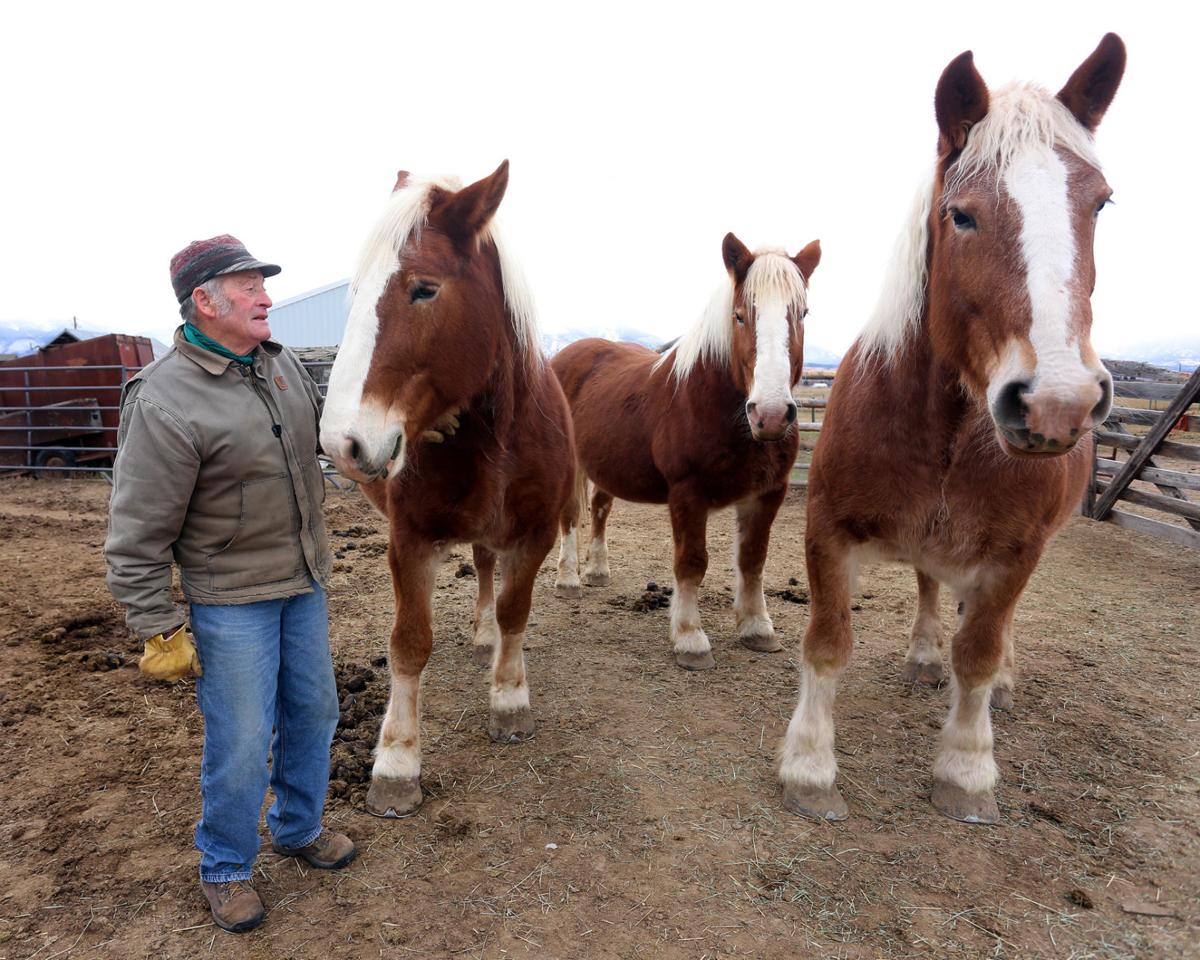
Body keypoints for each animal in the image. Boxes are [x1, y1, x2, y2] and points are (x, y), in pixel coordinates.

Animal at [320, 161, 576, 818]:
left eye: (425, 289)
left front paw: (509, 700)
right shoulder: (409, 540)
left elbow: (515, 610)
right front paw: (396, 764)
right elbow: (409, 643)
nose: (341, 443)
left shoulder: (536, 532)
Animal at [552, 233, 820, 670]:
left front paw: (757, 629)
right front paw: (690, 638)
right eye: (740, 315)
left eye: (802, 313)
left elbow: (753, 560)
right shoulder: (687, 493)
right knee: (571, 515)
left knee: (600, 509)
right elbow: (692, 562)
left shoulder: (768, 493)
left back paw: (598, 572)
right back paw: (569, 579)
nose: (771, 414)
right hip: (573, 463)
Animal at [777, 34, 1125, 824]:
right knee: (931, 587)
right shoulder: (827, 529)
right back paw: (922, 656)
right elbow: (827, 640)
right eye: (961, 215)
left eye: (1101, 203)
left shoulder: (1016, 554)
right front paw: (810, 767)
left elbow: (982, 649)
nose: (1055, 403)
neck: (946, 432)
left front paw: (967, 769)